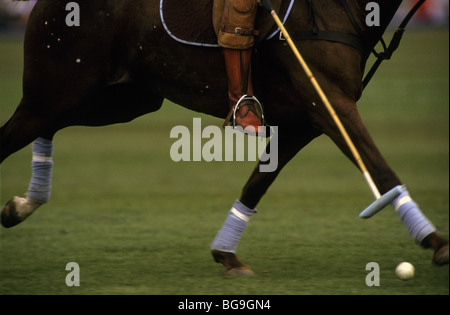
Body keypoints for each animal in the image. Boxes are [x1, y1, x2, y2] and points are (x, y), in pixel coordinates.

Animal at [1, 0, 448, 276]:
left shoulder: (304, 119)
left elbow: (257, 183)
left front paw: (227, 254)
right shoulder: (329, 101)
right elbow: (380, 169)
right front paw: (435, 241)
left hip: (123, 99)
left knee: (47, 126)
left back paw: (21, 205)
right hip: (61, 86)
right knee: (14, 133)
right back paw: (22, 205)